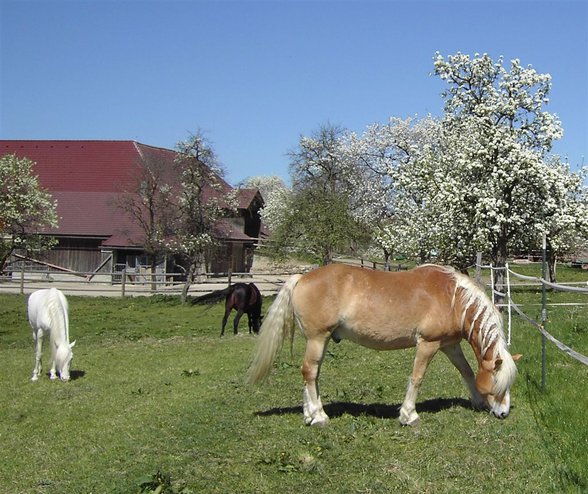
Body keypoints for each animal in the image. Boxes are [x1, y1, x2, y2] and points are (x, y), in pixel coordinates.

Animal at [246, 264, 520, 426]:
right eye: (498, 384)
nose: (504, 413)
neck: (453, 298)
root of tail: (302, 277)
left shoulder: (449, 345)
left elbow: (467, 371)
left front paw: (477, 401)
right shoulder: (428, 344)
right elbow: (417, 378)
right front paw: (409, 415)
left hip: (318, 341)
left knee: (310, 374)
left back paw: (308, 414)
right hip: (317, 338)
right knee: (310, 372)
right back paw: (319, 416)